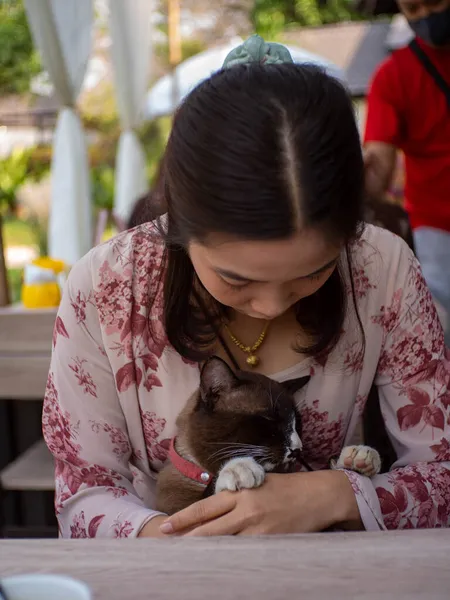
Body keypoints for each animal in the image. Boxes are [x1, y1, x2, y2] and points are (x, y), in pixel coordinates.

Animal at [155, 356, 380, 516]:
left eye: (298, 424)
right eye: (269, 419)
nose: (297, 449)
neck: (202, 473)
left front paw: (357, 457)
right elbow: (208, 496)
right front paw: (238, 468)